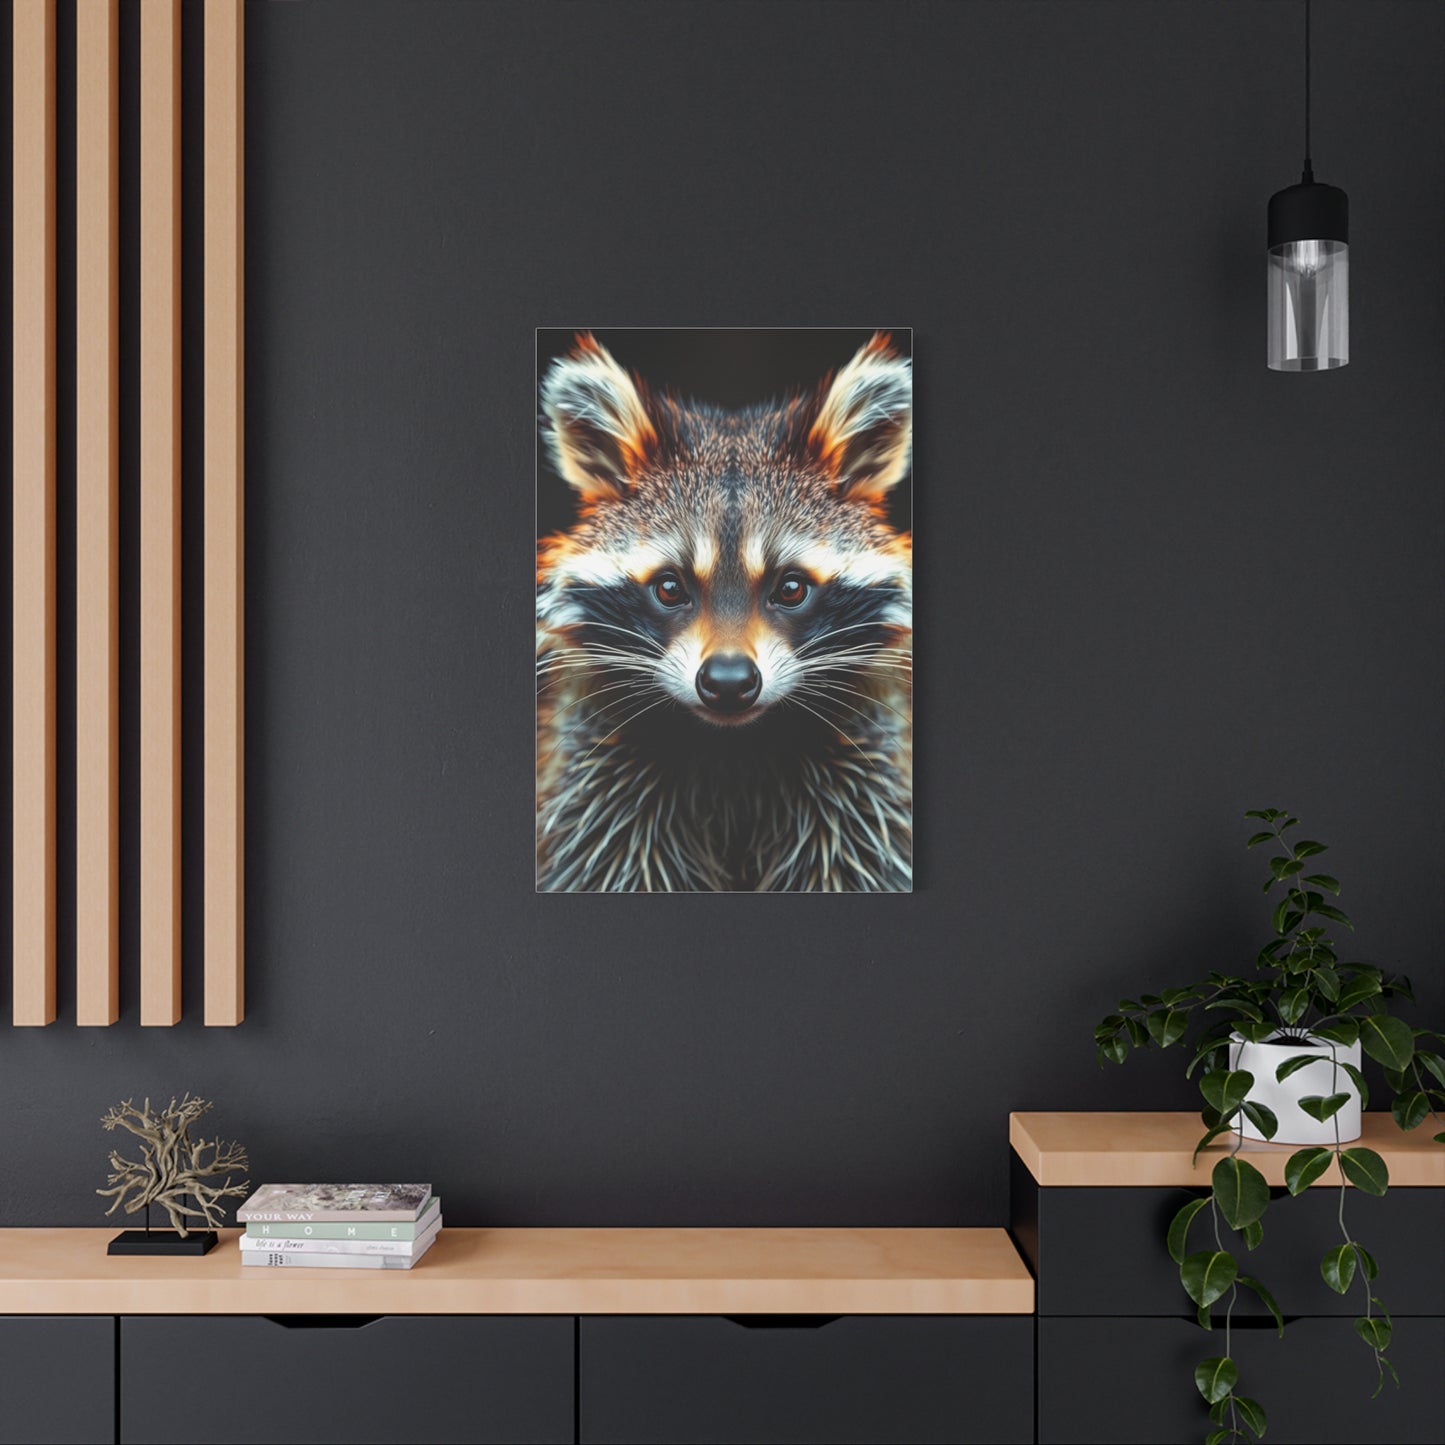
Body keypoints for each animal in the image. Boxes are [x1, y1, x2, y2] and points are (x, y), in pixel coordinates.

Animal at [536, 332, 912, 892]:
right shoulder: (597, 780)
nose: (730, 682)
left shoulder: (865, 779)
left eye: (791, 588)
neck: (733, 753)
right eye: (670, 588)